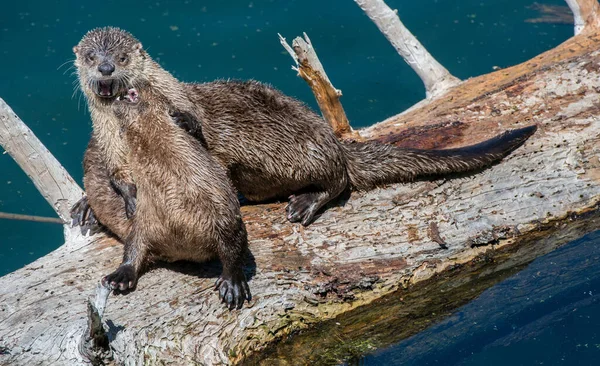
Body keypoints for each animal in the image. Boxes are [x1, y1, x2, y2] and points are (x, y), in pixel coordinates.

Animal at [71, 26, 540, 232]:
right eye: (92, 58)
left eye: (123, 58)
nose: (107, 70)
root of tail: (332, 139)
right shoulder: (109, 148)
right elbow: (116, 178)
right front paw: (108, 203)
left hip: (298, 149)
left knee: (339, 179)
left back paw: (305, 203)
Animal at [104, 87, 250, 310]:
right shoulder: (144, 217)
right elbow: (133, 243)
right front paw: (121, 274)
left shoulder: (223, 205)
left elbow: (234, 244)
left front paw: (233, 283)